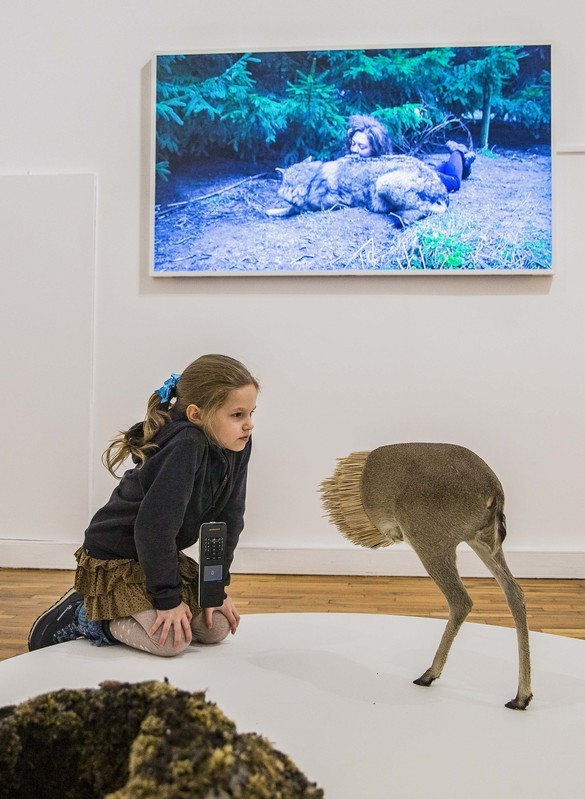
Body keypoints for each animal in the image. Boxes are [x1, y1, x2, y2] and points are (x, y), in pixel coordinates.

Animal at [320, 444, 532, 712]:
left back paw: (429, 674)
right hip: (482, 543)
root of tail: (494, 494)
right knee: (514, 592)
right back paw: (521, 697)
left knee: (461, 600)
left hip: (431, 541)